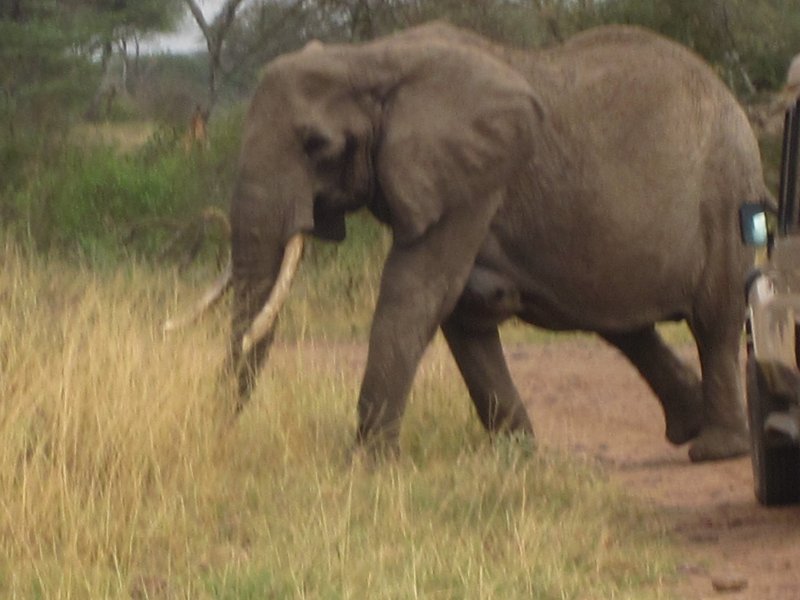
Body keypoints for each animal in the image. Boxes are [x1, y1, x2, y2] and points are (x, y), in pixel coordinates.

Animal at [168, 22, 769, 462]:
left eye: (317, 145)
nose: (217, 441)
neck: (370, 59)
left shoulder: (475, 176)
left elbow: (417, 292)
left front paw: (367, 465)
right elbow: (462, 312)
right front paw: (517, 458)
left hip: (727, 192)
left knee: (714, 319)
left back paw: (716, 450)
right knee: (622, 323)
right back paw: (687, 428)